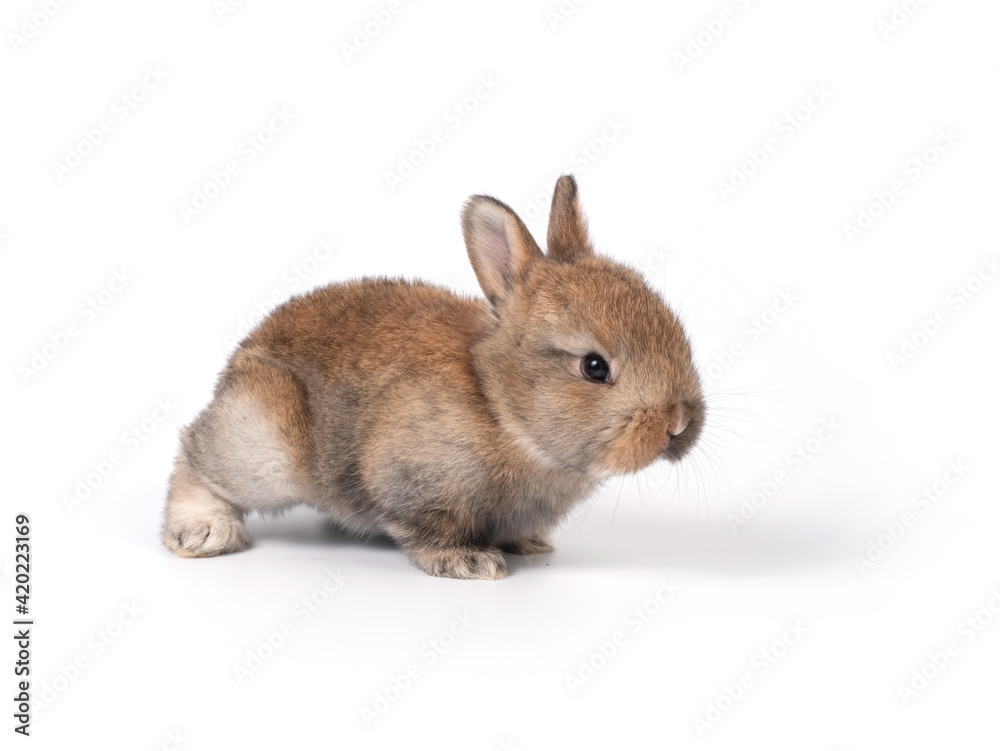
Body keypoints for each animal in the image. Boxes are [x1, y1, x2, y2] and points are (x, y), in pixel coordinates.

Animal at [162, 176, 704, 580]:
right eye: (594, 367)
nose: (677, 424)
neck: (498, 405)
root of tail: (238, 362)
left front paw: (529, 544)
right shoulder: (414, 484)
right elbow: (429, 531)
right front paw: (469, 562)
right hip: (264, 442)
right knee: (197, 462)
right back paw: (204, 533)